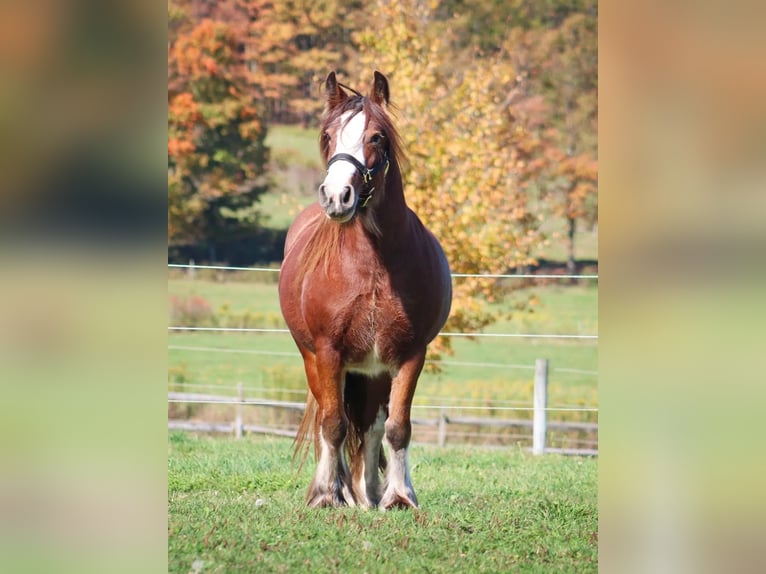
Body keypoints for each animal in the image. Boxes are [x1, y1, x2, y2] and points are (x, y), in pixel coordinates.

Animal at [278, 71, 452, 510]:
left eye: (376, 137)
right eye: (328, 135)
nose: (337, 196)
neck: (373, 264)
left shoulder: (409, 355)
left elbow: (397, 427)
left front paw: (399, 496)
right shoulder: (328, 353)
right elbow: (333, 423)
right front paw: (327, 495)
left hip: (372, 371)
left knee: (373, 426)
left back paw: (369, 491)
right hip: (314, 359)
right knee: (330, 419)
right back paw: (338, 487)